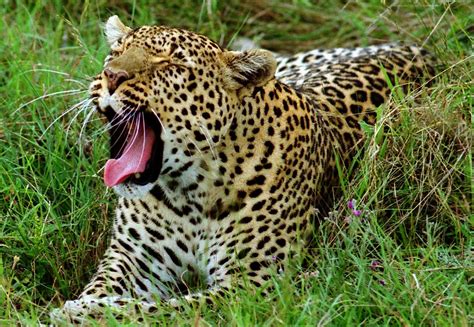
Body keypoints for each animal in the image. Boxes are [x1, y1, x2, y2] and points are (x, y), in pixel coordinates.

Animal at [50, 14, 436, 324]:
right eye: (115, 52)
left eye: (170, 65)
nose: (111, 76)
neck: (191, 191)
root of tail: (420, 49)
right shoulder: (134, 257)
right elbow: (103, 283)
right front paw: (86, 304)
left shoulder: (253, 284)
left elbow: (171, 309)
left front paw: (86, 313)